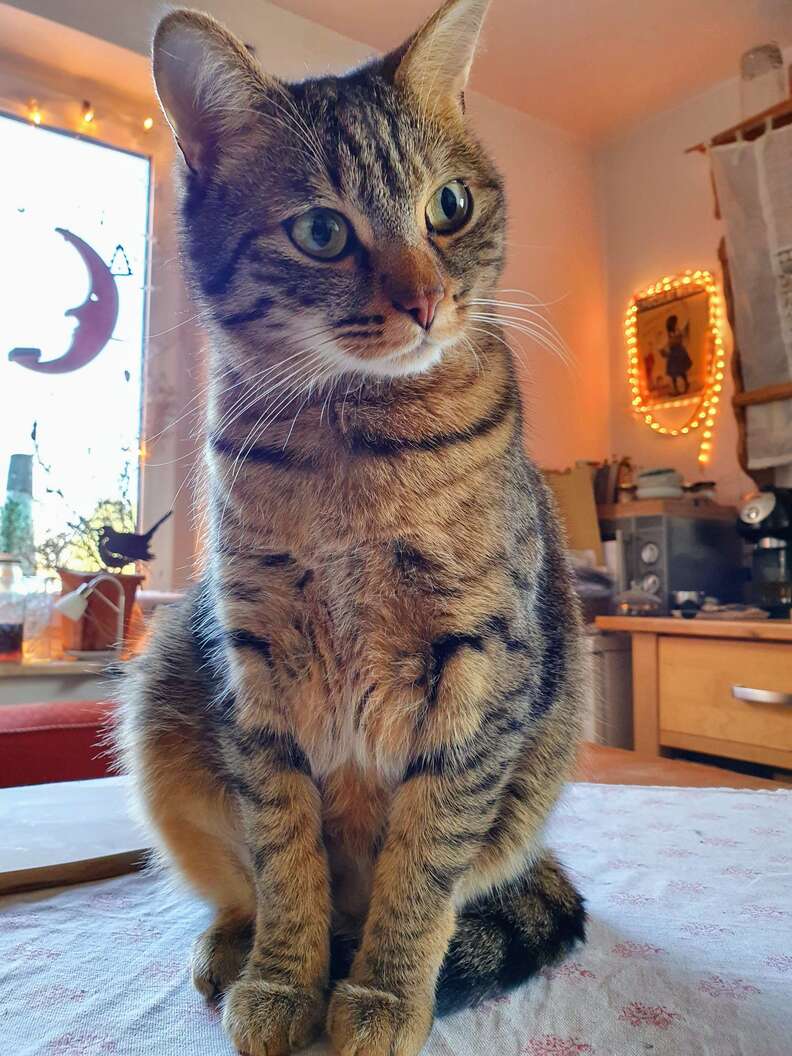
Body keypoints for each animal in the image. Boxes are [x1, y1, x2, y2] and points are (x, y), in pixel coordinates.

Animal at [119, 2, 591, 1056]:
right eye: (322, 231)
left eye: (448, 206)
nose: (425, 301)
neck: (359, 442)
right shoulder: (256, 661)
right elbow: (284, 854)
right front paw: (285, 983)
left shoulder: (478, 666)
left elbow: (421, 869)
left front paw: (380, 997)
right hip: (167, 686)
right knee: (240, 888)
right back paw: (233, 952)